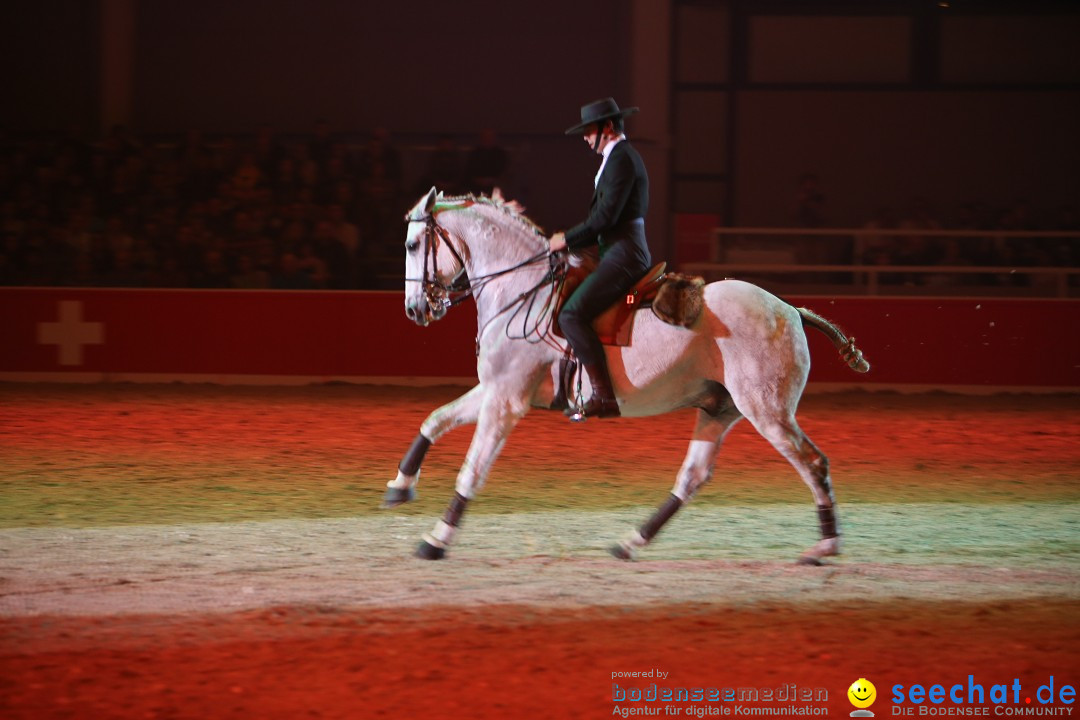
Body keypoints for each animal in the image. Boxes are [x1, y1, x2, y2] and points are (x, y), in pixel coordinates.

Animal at [386, 184, 868, 561]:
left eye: (412, 246)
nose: (414, 310)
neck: (520, 290)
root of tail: (791, 309)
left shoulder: (506, 400)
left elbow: (472, 469)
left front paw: (436, 539)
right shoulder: (495, 390)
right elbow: (434, 421)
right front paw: (400, 485)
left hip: (766, 411)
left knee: (812, 462)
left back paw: (825, 547)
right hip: (720, 408)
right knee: (692, 477)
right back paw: (632, 541)